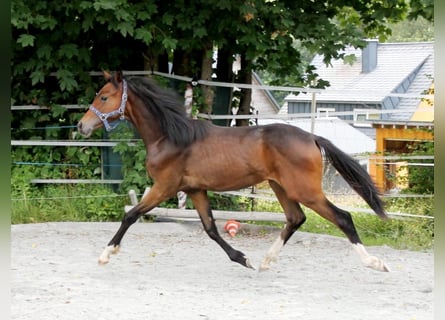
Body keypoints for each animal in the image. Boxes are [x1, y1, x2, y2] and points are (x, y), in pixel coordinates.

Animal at [79, 71, 388, 272]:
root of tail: (312, 138)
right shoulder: (195, 190)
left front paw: (106, 254)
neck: (170, 137)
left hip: (305, 190)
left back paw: (375, 263)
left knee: (342, 217)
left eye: (104, 97)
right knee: (295, 218)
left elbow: (130, 215)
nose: (82, 126)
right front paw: (243, 258)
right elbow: (211, 229)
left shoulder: (165, 187)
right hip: (280, 187)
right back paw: (265, 262)